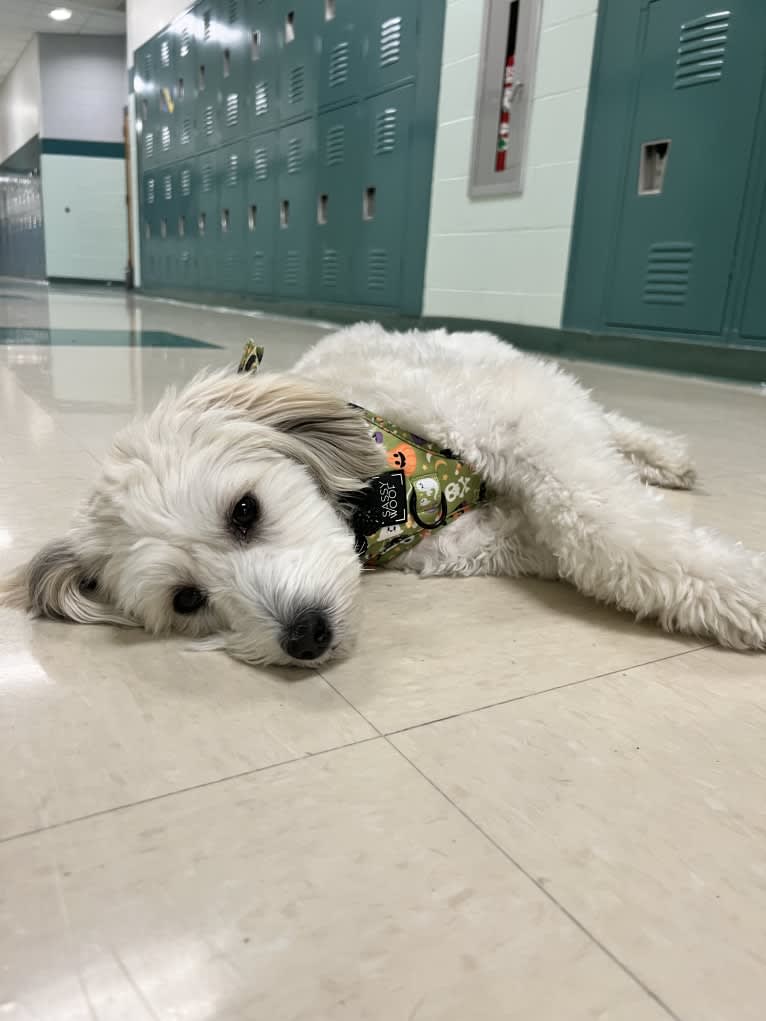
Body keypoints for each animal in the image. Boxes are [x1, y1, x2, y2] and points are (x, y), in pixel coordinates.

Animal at [1, 322, 766, 665]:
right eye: (188, 601)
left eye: (245, 510)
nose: (305, 637)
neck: (381, 499)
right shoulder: (484, 539)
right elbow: (591, 551)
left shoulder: (523, 426)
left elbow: (605, 531)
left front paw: (745, 592)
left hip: (522, 380)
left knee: (605, 421)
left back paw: (663, 455)